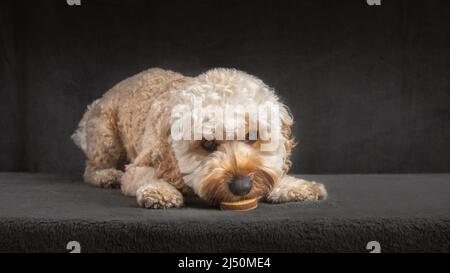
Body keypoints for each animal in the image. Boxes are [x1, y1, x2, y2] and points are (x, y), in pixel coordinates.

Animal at [73, 68, 326, 208]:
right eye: (207, 143)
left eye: (252, 135)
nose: (242, 187)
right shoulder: (139, 166)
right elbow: (146, 176)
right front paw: (161, 190)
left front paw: (295, 185)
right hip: (106, 134)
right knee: (91, 168)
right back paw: (106, 175)